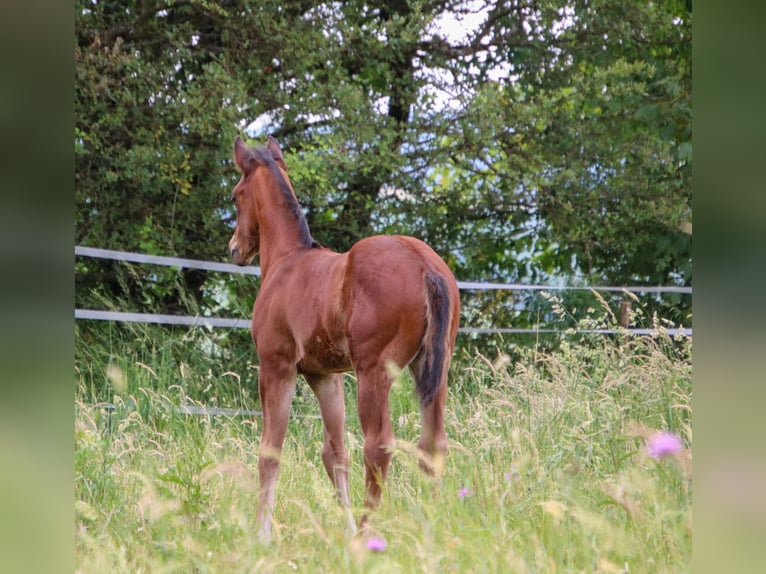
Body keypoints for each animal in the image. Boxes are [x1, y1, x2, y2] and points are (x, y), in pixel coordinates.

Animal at [227, 136, 460, 543]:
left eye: (236, 196)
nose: (234, 248)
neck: (288, 261)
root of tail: (424, 266)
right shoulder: (325, 376)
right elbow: (335, 453)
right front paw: (342, 526)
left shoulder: (276, 367)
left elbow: (270, 451)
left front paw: (261, 535)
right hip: (433, 368)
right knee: (432, 444)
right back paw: (427, 526)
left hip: (373, 373)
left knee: (379, 445)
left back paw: (367, 534)